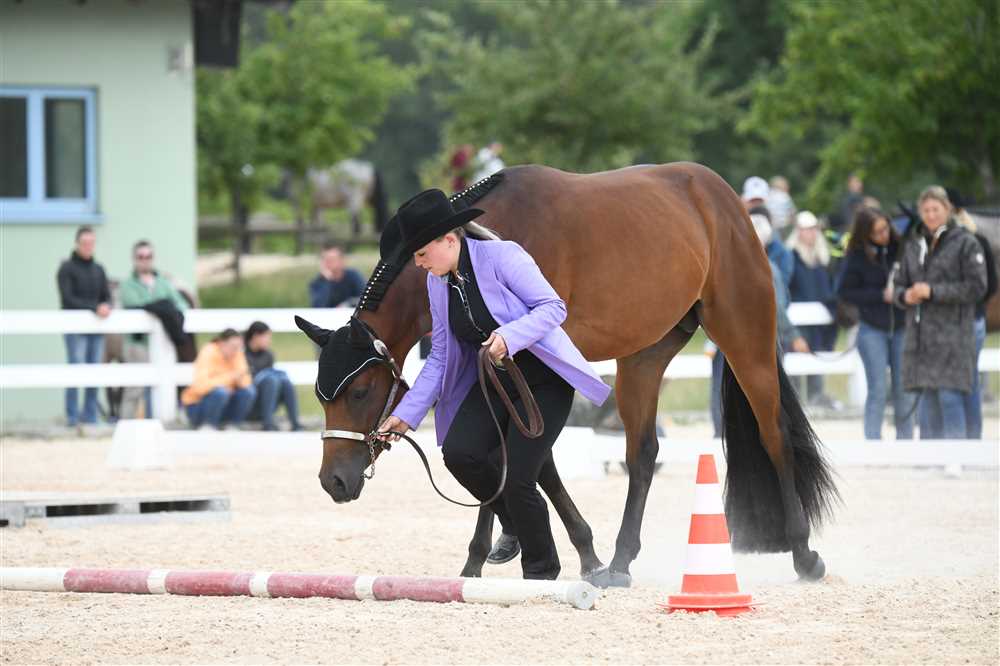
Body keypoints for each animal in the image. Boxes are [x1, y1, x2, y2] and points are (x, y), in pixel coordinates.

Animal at [295, 163, 839, 588]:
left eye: (360, 390)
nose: (333, 481)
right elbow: (508, 458)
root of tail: (722, 198)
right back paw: (621, 560)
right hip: (643, 357)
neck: (486, 239)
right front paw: (515, 548)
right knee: (642, 454)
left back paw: (804, 554)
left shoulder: (526, 365)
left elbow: (531, 462)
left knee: (773, 435)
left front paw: (550, 553)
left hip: (743, 335)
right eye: (322, 397)